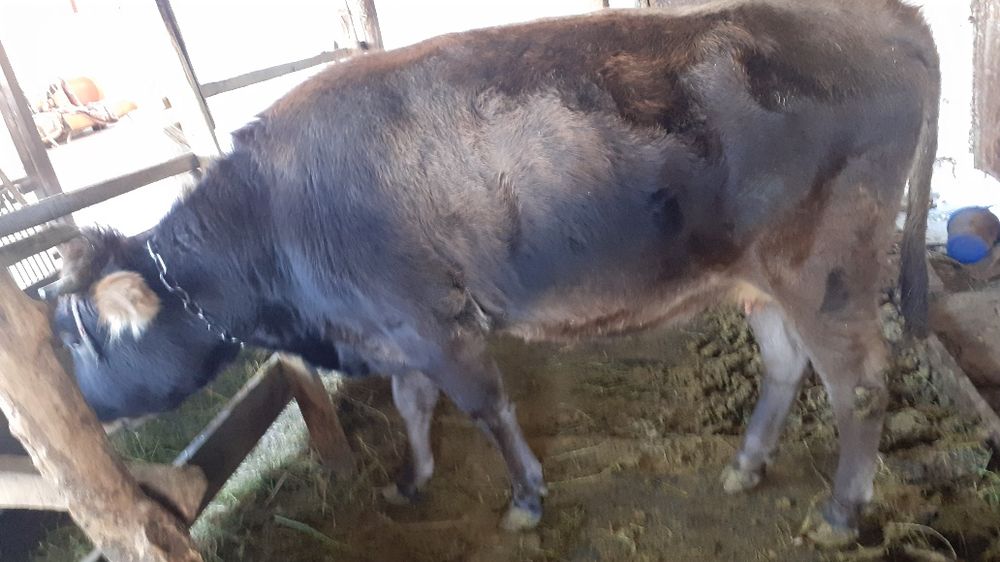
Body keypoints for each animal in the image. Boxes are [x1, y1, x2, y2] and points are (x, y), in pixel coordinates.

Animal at [49, 0, 938, 547]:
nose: (75, 418)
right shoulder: (392, 330)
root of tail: (886, 16)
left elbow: (485, 409)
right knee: (787, 364)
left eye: (78, 337)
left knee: (860, 384)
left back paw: (838, 512)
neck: (273, 219)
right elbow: (412, 405)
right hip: (757, 274)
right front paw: (413, 480)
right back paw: (747, 464)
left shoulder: (438, 324)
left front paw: (526, 499)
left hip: (827, 263)